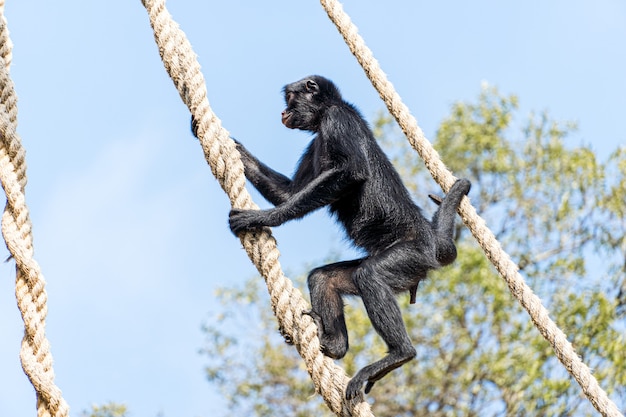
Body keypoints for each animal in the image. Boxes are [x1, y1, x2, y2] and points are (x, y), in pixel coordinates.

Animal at [225, 76, 468, 398]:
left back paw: (400, 353)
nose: (283, 112)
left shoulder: (336, 121)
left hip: (411, 255)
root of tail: (430, 238)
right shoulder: (317, 139)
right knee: (324, 278)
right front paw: (236, 148)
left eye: (290, 99)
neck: (331, 107)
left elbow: (352, 172)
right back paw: (335, 346)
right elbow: (289, 193)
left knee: (369, 275)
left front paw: (265, 217)